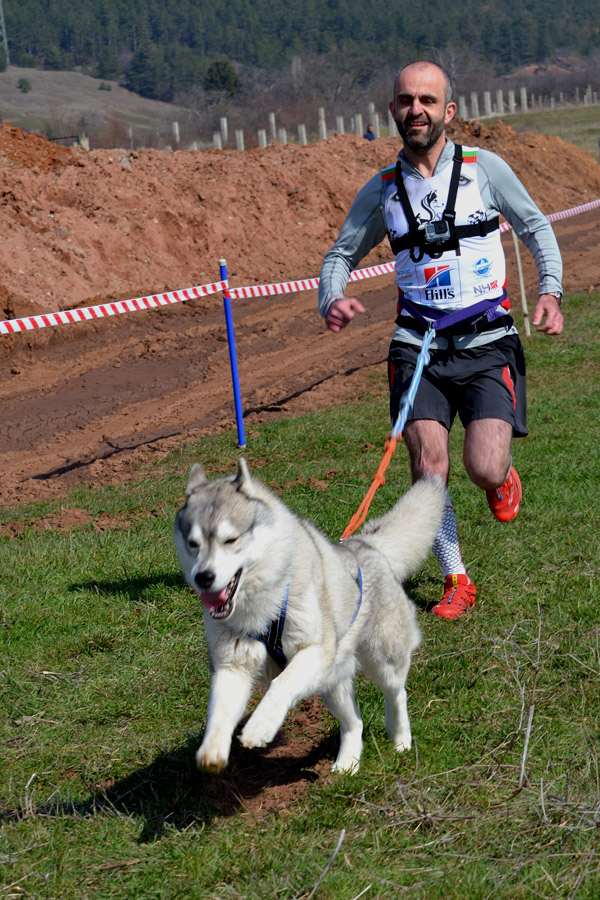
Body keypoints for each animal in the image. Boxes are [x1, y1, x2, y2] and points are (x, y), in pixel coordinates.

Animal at [174, 459, 445, 774]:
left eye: (231, 539)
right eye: (193, 543)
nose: (203, 577)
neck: (262, 606)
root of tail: (366, 545)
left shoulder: (315, 651)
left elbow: (281, 685)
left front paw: (259, 727)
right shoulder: (231, 666)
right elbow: (218, 713)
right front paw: (212, 751)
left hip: (381, 661)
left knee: (396, 693)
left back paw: (401, 738)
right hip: (332, 684)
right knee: (354, 721)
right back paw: (348, 761)